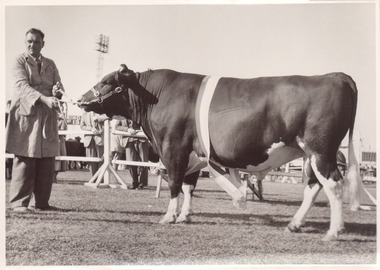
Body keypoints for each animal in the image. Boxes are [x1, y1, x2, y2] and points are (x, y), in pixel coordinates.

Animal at [78, 65, 362, 240]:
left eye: (106, 82)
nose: (80, 99)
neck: (156, 97)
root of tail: (335, 76)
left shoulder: (173, 147)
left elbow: (175, 183)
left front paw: (169, 216)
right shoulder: (193, 154)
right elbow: (189, 185)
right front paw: (185, 215)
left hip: (320, 150)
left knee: (333, 184)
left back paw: (333, 232)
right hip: (310, 154)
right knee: (314, 186)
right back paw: (295, 224)